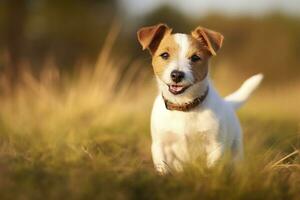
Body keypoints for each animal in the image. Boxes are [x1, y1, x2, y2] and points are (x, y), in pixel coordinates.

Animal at [137, 23, 262, 173]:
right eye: (165, 55)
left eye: (195, 58)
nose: (177, 75)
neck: (183, 106)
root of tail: (228, 103)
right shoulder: (160, 146)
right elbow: (163, 168)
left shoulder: (215, 146)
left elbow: (211, 168)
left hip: (235, 149)